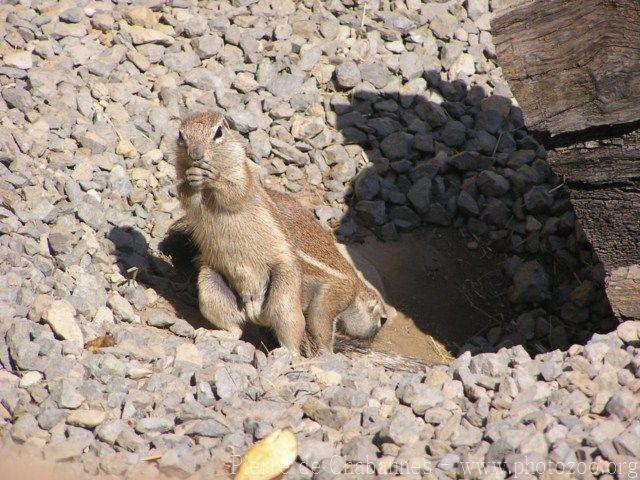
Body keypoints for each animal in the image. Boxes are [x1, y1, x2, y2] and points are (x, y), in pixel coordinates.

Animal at [172, 110, 388, 354]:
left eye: (218, 133)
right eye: (181, 135)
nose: (196, 155)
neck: (356, 289)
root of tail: (257, 314)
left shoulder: (243, 180)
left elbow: (234, 193)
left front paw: (213, 176)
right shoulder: (334, 296)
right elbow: (186, 195)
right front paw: (192, 177)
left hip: (284, 294)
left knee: (289, 328)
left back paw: (290, 352)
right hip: (211, 285)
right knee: (236, 328)